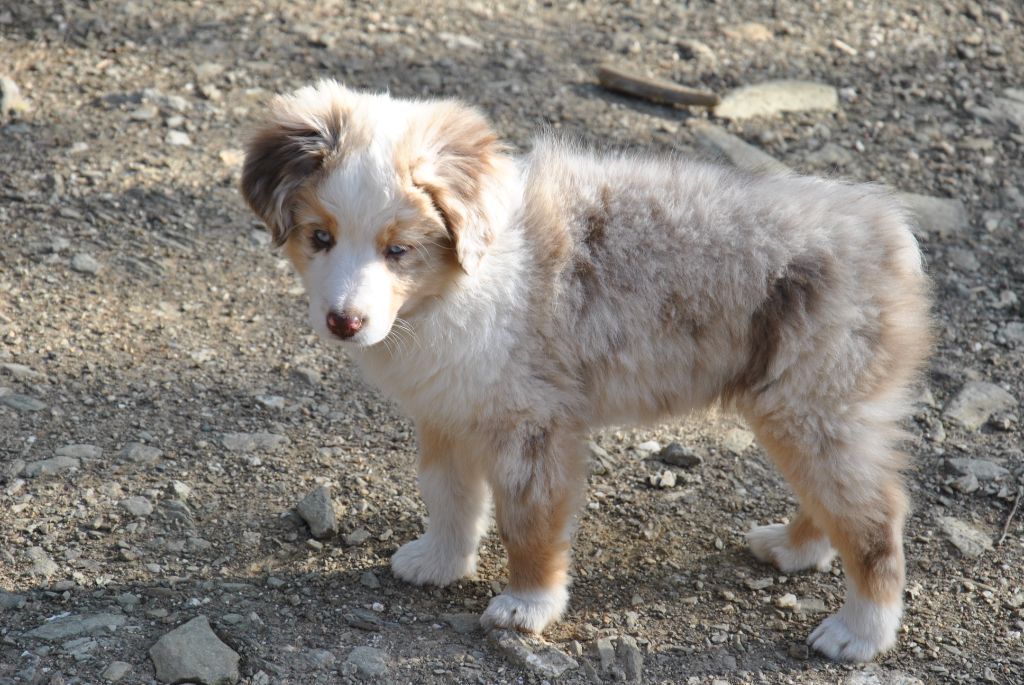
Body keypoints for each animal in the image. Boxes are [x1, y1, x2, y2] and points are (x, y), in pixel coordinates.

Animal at [239, 80, 929, 663]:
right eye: (320, 237)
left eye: (399, 250)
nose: (344, 322)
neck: (463, 282)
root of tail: (889, 231)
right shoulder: (449, 409)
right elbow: (450, 495)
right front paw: (439, 563)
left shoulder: (534, 425)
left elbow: (528, 522)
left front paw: (526, 608)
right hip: (804, 410)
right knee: (835, 499)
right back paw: (794, 549)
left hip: (815, 403)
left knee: (875, 517)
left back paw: (858, 633)